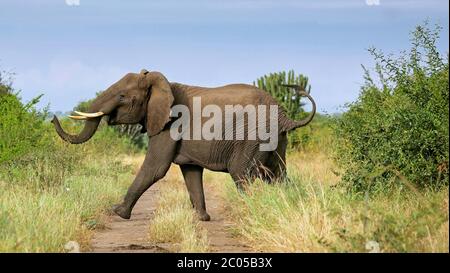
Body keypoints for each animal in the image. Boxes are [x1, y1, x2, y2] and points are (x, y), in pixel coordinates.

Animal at [51, 69, 316, 220]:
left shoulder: (170, 124)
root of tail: (284, 114)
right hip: (276, 140)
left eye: (122, 97)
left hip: (253, 136)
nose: (53, 117)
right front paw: (201, 218)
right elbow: (191, 173)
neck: (161, 84)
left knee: (242, 174)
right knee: (278, 175)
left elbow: (155, 167)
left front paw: (118, 212)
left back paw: (248, 214)